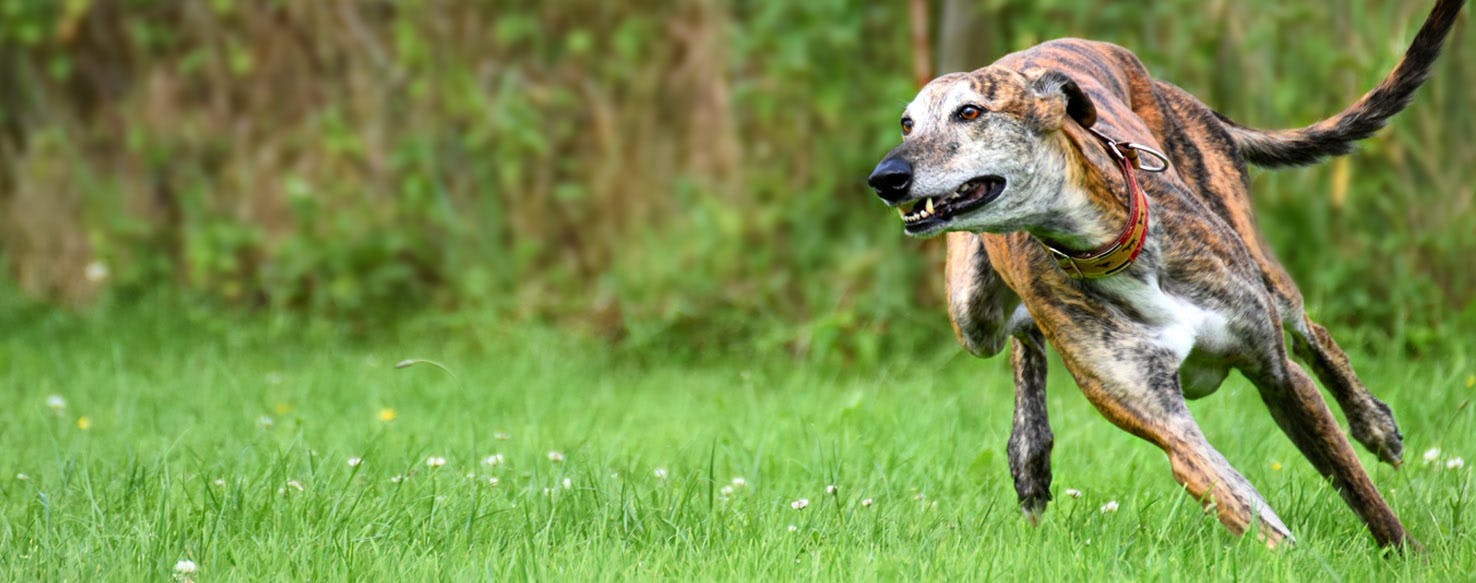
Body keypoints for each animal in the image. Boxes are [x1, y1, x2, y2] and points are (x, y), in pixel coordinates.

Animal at [867, 0, 1458, 552]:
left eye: (970, 112)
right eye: (907, 123)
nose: (884, 178)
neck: (1110, 248)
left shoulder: (1279, 375)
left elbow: (1359, 488)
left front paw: (1411, 555)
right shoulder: (1170, 428)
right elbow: (1250, 509)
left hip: (1257, 257)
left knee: (1313, 331)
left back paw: (1374, 424)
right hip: (971, 313)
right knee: (1021, 334)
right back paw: (1030, 455)